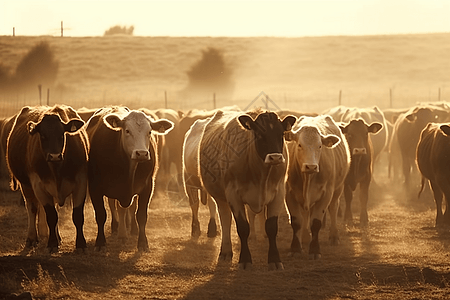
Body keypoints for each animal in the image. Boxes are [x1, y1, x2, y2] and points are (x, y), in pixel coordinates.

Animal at [6, 105, 88, 251]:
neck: (57, 169)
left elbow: (77, 215)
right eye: (43, 136)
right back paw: (32, 238)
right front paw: (52, 244)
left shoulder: (81, 182)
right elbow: (51, 215)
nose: (54, 156)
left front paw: (80, 244)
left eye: (62, 134)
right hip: (26, 186)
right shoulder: (38, 185)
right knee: (32, 208)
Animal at [86, 106, 174, 251]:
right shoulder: (94, 187)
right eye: (127, 131)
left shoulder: (147, 187)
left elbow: (141, 215)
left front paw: (143, 243)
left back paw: (131, 230)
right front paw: (100, 243)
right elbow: (101, 214)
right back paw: (117, 229)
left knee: (127, 209)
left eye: (149, 132)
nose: (142, 153)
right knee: (114, 206)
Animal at [199, 109, 294, 270]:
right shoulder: (233, 195)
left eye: (281, 133)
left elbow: (271, 228)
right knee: (225, 219)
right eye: (259, 134)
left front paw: (275, 260)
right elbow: (243, 228)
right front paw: (245, 260)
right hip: (220, 197)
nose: (275, 157)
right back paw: (225, 252)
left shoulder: (278, 194)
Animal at [284, 113, 352, 258]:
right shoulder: (288, 193)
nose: (311, 166)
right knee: (306, 213)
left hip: (337, 189)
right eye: (299, 145)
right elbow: (296, 221)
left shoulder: (326, 194)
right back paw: (305, 237)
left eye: (320, 146)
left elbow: (316, 222)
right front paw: (295, 248)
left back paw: (334, 236)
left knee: (333, 208)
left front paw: (315, 250)